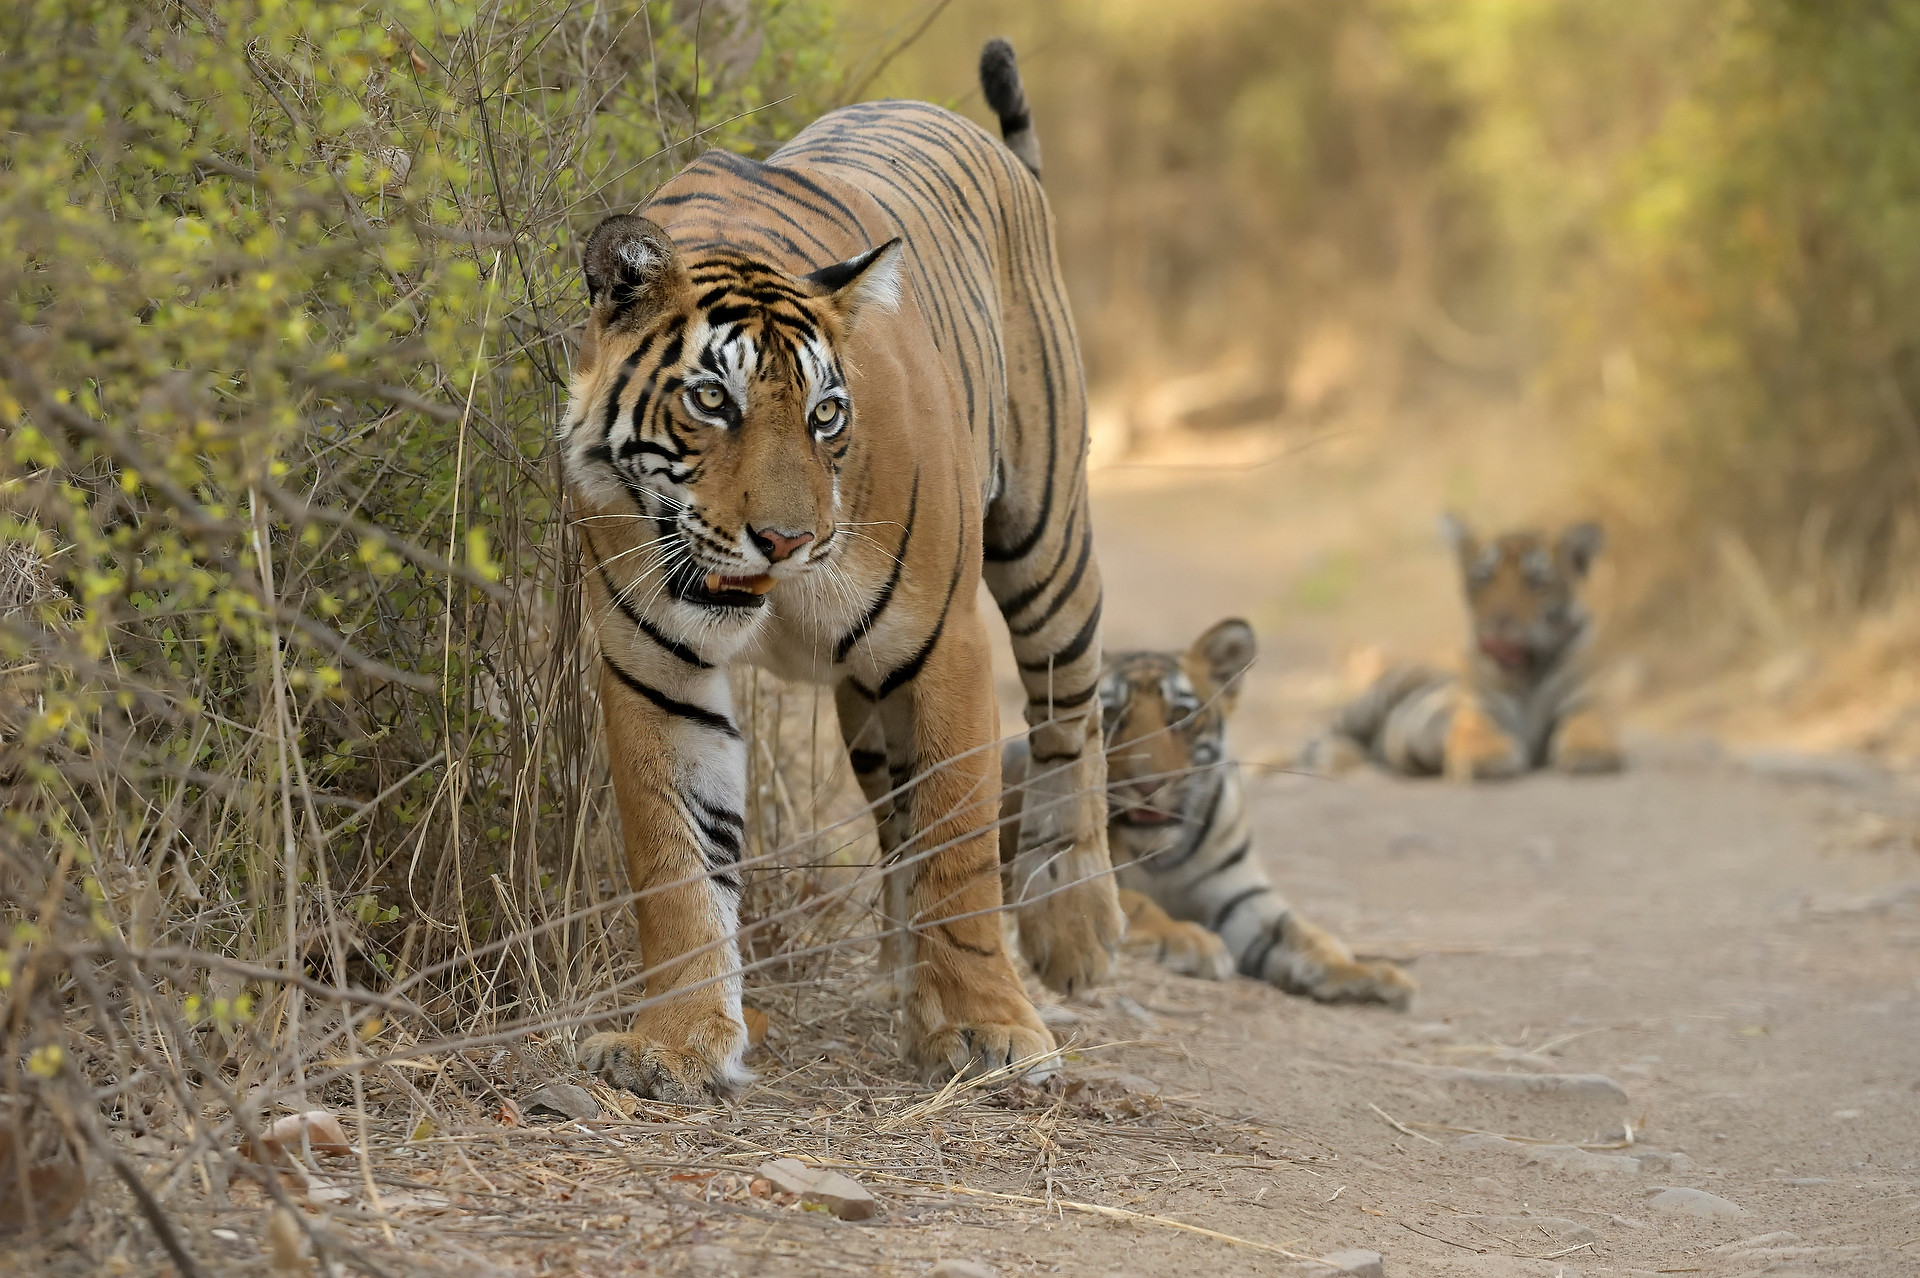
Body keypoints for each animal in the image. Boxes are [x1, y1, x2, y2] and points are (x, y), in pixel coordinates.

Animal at [559, 41, 1121, 1102]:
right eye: (712, 400)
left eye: (825, 414)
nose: (783, 541)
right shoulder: (655, 670)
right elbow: (675, 860)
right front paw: (677, 1041)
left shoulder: (946, 646)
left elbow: (959, 841)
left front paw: (991, 1030)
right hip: (865, 697)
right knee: (896, 815)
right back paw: (903, 976)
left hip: (1046, 544)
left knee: (1071, 718)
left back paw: (1073, 930)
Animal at [1002, 619, 1416, 1009]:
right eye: (1112, 713)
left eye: (1181, 713)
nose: (1148, 785)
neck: (1161, 853)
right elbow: (1133, 903)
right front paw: (1193, 940)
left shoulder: (1241, 896)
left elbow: (1302, 934)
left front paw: (1368, 974)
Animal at [1303, 515, 1624, 780]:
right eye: (1483, 578)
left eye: (1534, 582)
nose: (1499, 620)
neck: (1525, 671)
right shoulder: (1477, 709)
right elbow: (1477, 730)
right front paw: (1488, 759)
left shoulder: (1584, 703)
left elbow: (1588, 724)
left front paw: (1590, 752)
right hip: (1371, 702)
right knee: (1327, 733)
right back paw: (1324, 759)